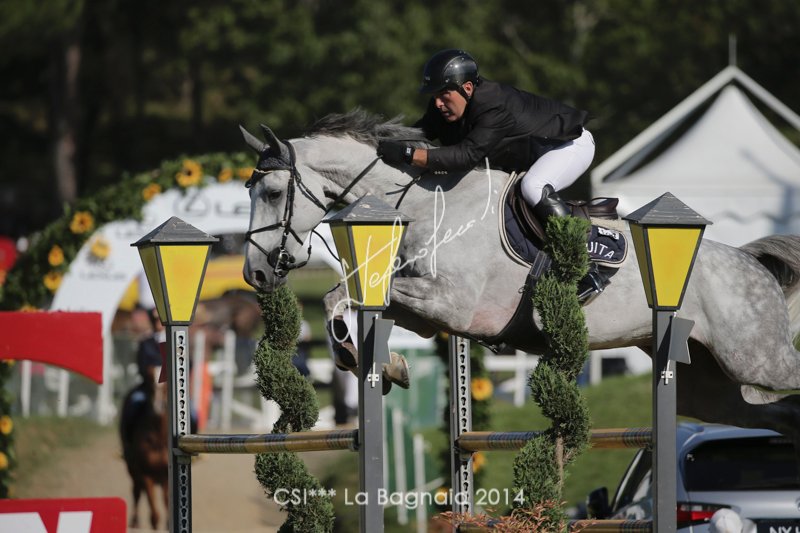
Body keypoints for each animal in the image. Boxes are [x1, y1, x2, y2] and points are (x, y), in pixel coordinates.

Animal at [120, 364, 169, 529]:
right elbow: (154, 513)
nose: (157, 406)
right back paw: (134, 521)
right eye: (148, 381)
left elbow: (166, 501)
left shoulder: (166, 475)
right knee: (136, 491)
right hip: (132, 469)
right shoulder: (146, 474)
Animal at [239, 109, 800, 450]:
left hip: (756, 357)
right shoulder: (425, 310)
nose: (256, 273)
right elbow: (343, 298)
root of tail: (750, 263)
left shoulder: (453, 304)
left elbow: (351, 297)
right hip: (706, 383)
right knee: (772, 415)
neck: (424, 203)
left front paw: (372, 358)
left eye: (272, 192)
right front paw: (380, 362)